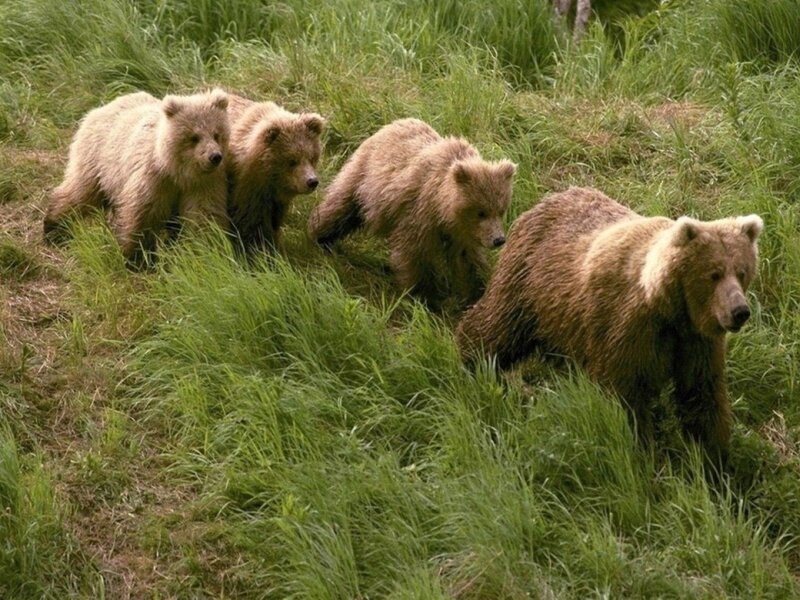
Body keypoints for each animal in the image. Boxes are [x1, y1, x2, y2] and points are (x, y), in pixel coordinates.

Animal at [43, 88, 230, 265]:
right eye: (194, 137)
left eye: (217, 134)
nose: (215, 157)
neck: (177, 171)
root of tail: (101, 108)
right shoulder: (153, 178)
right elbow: (142, 215)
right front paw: (138, 259)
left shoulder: (202, 184)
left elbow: (203, 216)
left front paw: (207, 252)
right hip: (97, 160)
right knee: (80, 193)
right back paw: (53, 229)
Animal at [225, 94, 325, 254]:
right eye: (292, 161)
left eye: (312, 157)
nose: (312, 182)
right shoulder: (247, 188)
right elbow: (251, 222)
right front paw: (257, 248)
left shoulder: (276, 200)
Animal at [307, 118, 516, 311]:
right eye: (481, 212)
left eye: (501, 210)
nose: (499, 240)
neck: (443, 209)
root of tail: (392, 124)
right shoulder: (419, 212)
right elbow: (413, 253)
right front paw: (424, 297)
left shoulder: (462, 234)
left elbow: (467, 261)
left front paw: (475, 294)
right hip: (364, 177)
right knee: (341, 205)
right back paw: (319, 236)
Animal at [456, 186, 763, 460]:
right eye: (714, 274)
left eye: (741, 271)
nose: (739, 311)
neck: (668, 310)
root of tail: (544, 200)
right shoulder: (625, 330)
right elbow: (624, 398)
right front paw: (642, 451)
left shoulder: (694, 343)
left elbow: (702, 396)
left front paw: (713, 459)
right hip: (527, 286)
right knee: (496, 327)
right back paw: (472, 360)